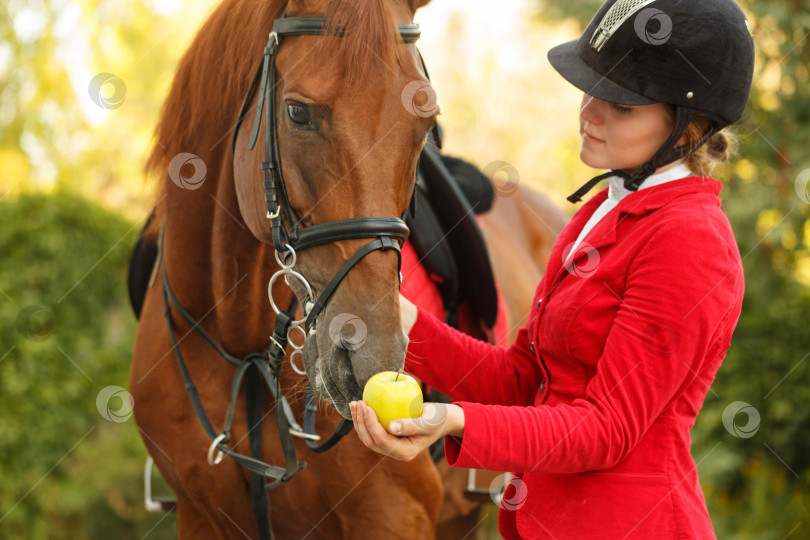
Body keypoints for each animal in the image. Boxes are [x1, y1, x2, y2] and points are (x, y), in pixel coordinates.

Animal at [129, 1, 564, 540]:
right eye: (298, 112)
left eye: (425, 124)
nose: (371, 355)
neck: (240, 346)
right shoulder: (200, 517)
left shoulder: (392, 515)